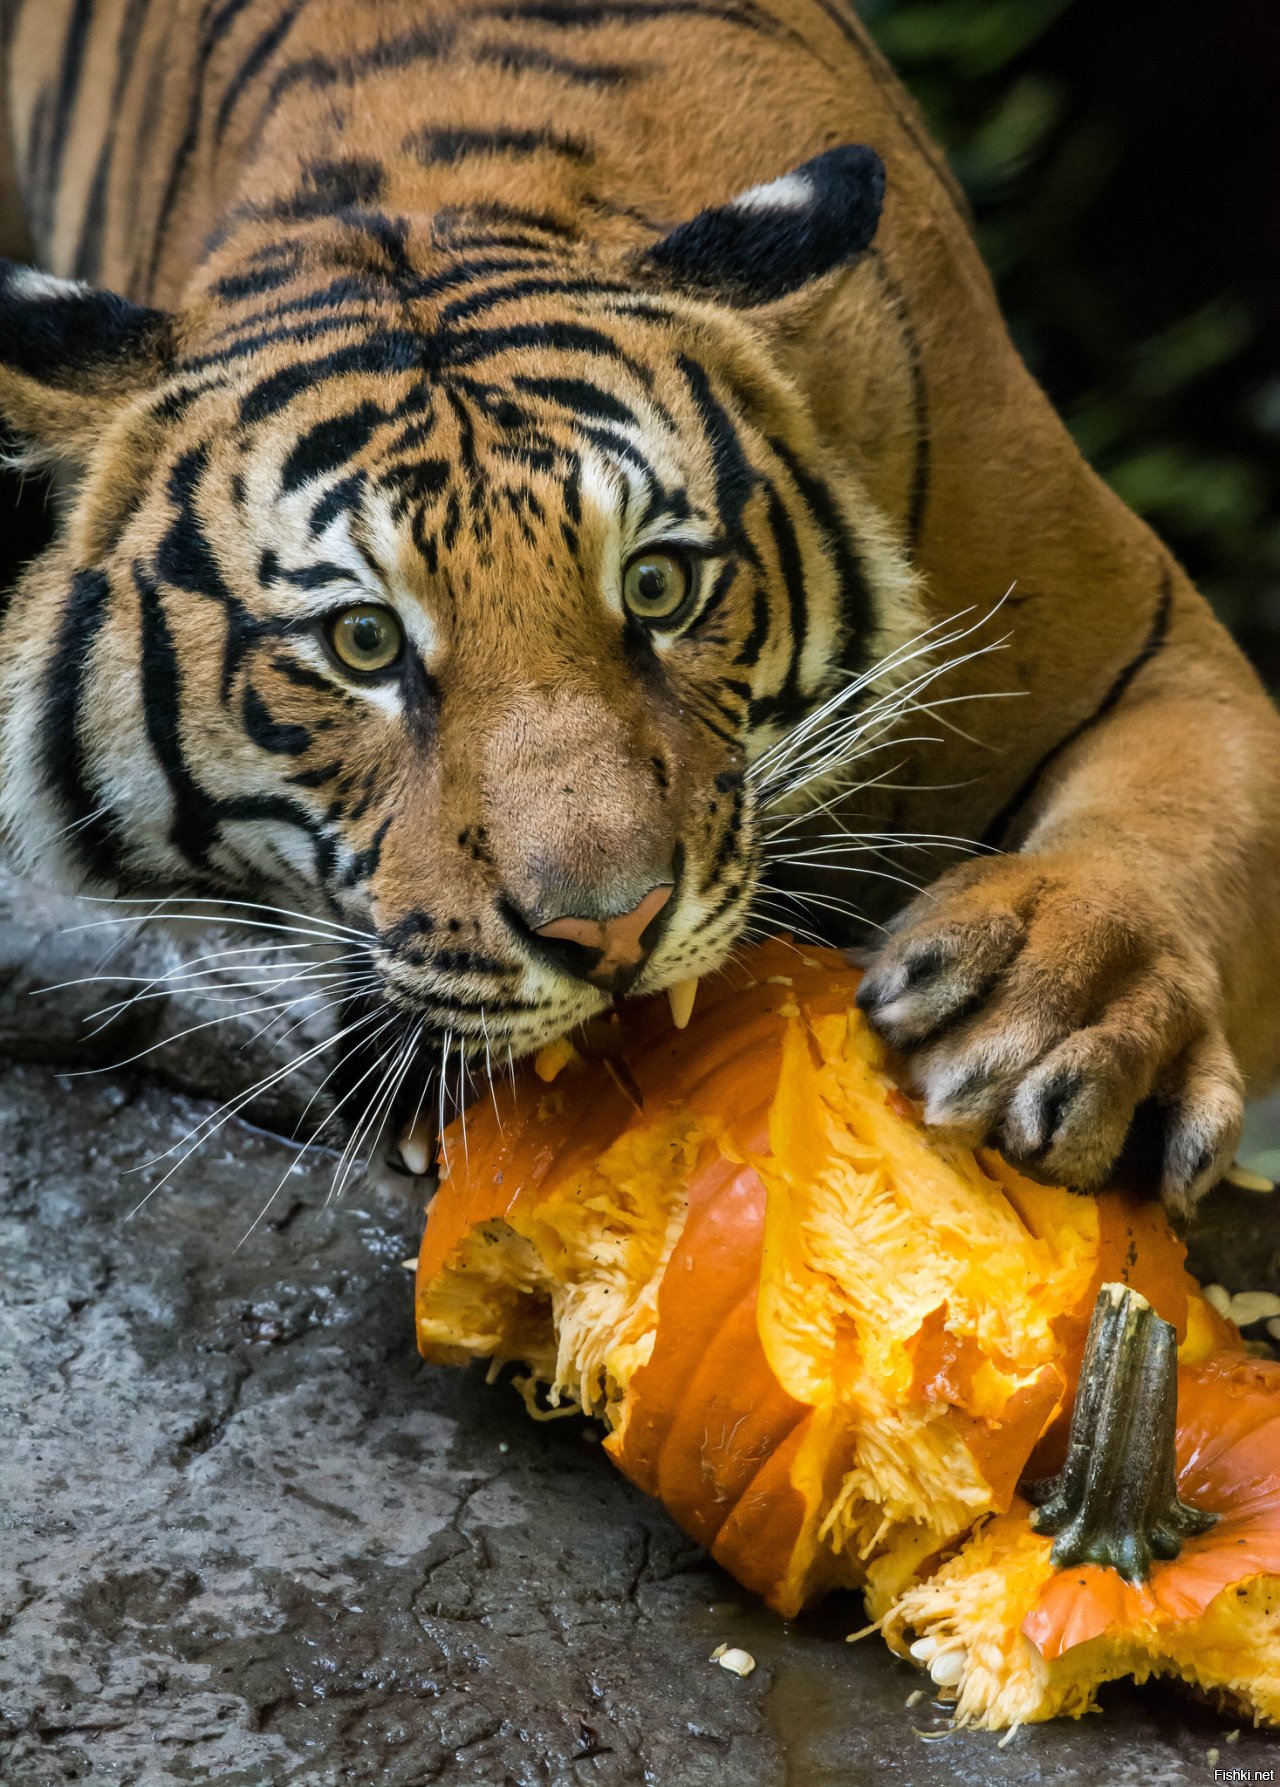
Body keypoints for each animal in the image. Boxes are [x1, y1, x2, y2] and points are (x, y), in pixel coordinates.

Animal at [0, 0, 1272, 1208]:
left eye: (655, 583)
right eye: (362, 641)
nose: (607, 929)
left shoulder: (1152, 646)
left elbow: (1171, 818)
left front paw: (1051, 1005)